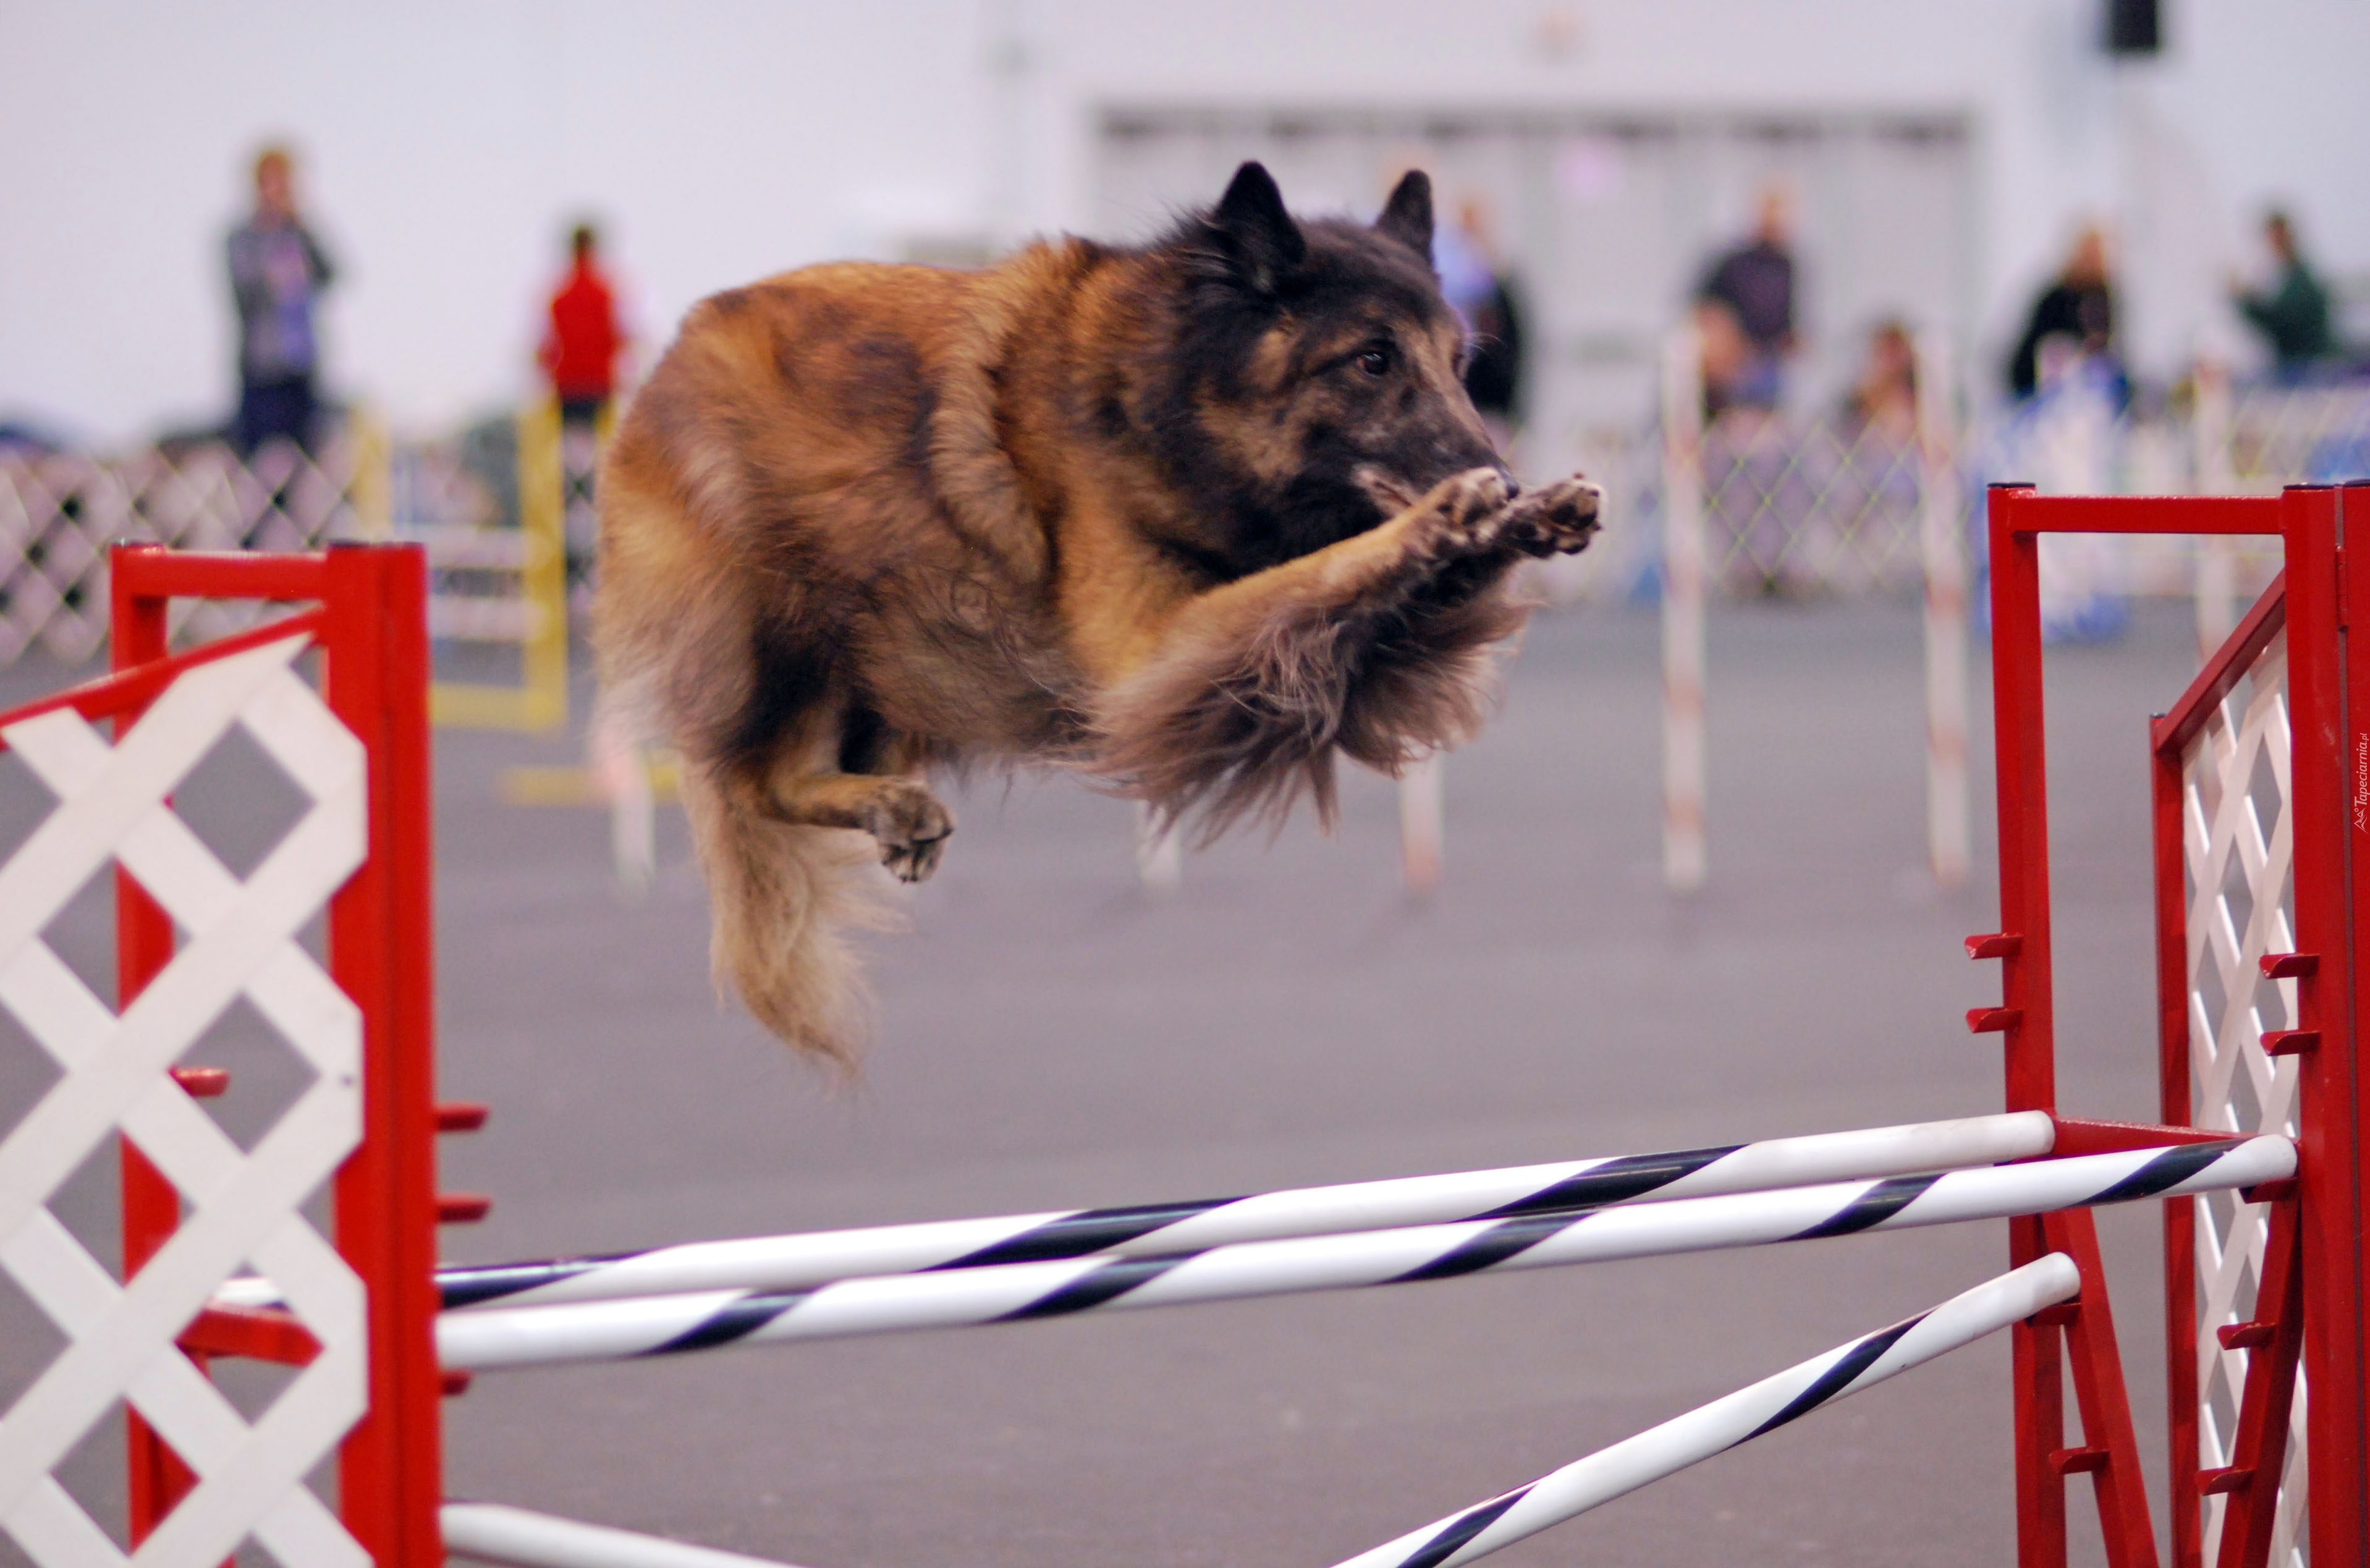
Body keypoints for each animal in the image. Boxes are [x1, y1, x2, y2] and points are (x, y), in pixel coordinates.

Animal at [592, 162, 1602, 1070]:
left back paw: (891, 809)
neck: (1168, 402)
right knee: (747, 778)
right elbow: (1318, 573)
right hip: (790, 621)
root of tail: (665, 363)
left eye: (1459, 366)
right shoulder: (1160, 654)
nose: (1499, 469)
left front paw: (1521, 516)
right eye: (1372, 360)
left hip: (903, 656)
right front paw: (1442, 520)